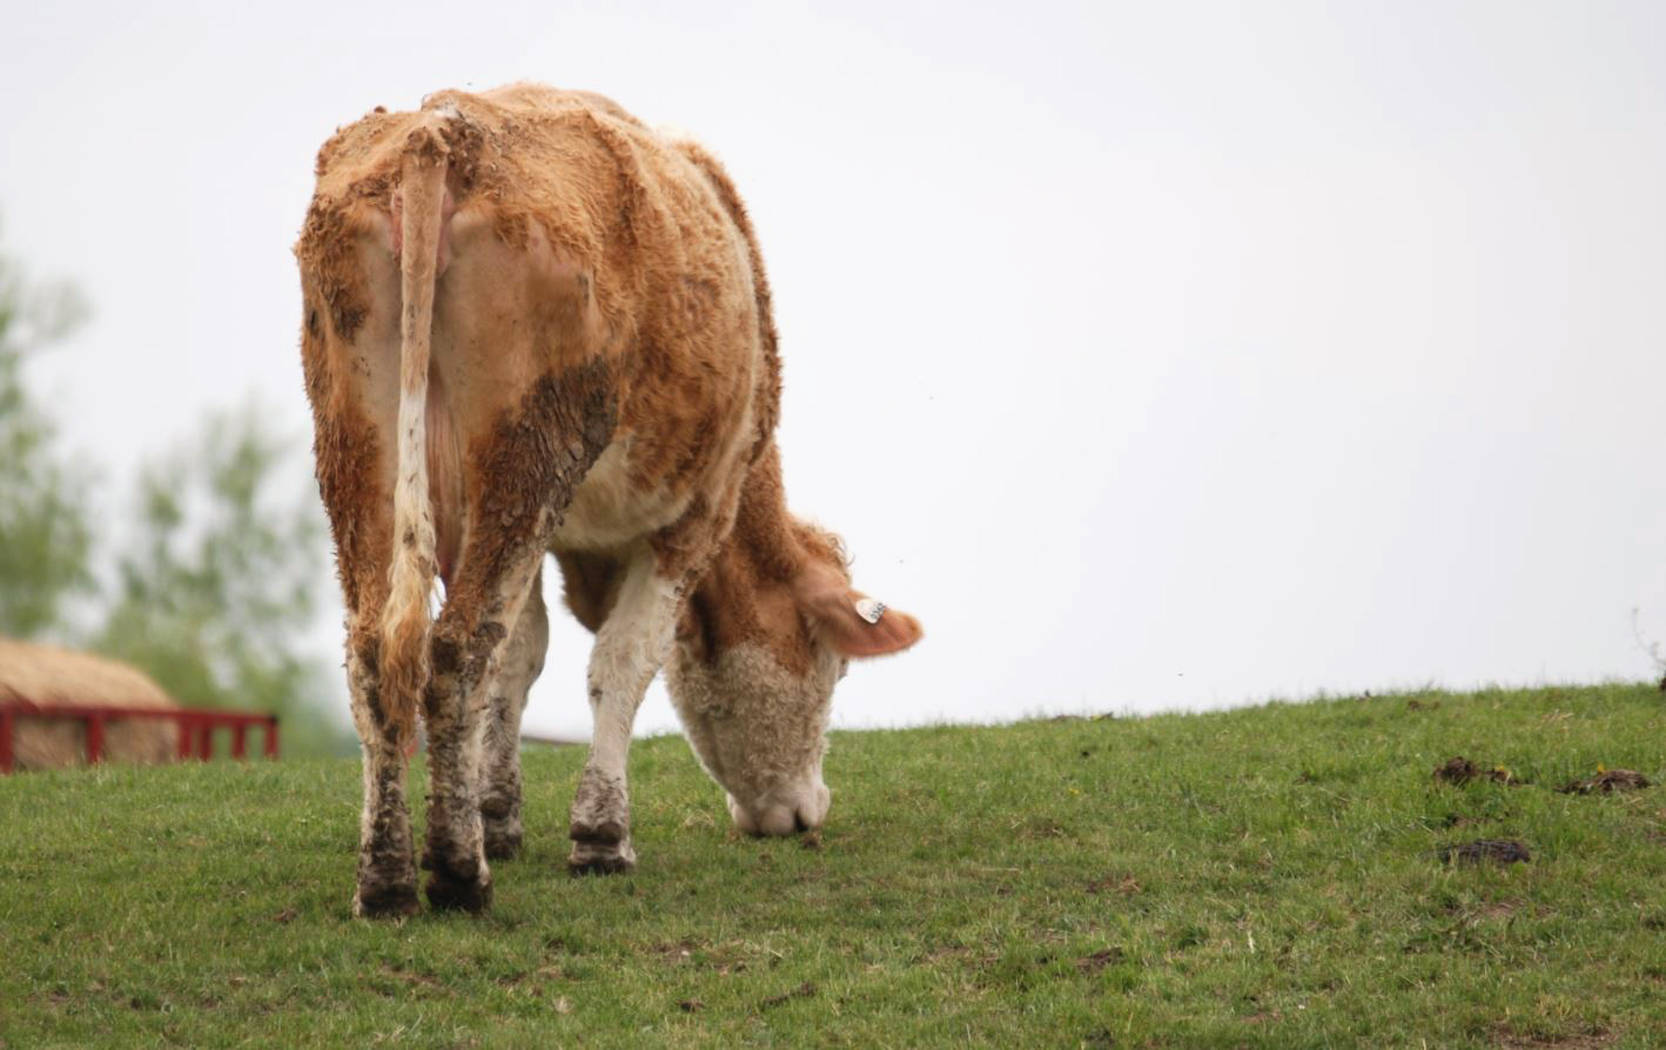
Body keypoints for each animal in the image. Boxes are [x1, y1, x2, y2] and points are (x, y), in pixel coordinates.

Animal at [295, 84, 922, 917]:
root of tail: (439, 134)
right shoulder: (697, 513)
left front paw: (497, 815)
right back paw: (458, 873)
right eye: (833, 668)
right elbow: (622, 662)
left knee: (379, 651)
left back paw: (389, 876)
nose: (805, 811)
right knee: (455, 649)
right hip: (525, 456)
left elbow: (521, 656)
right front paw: (598, 836)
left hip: (362, 449)